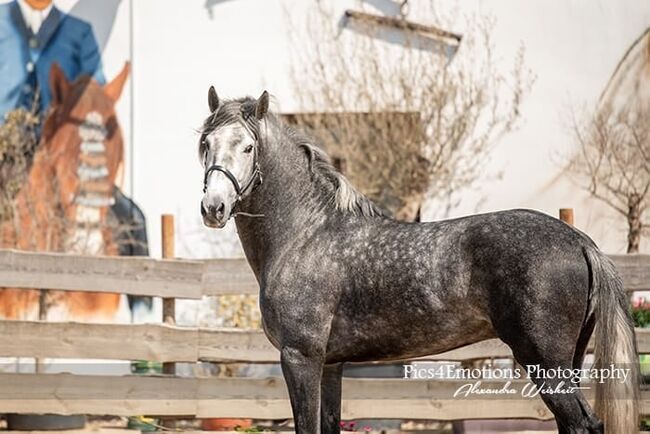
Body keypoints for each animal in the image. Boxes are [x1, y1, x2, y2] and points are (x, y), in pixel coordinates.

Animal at [195, 89, 636, 434]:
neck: (307, 234)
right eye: (206, 144)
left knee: (582, 424)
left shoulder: (300, 357)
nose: (213, 208)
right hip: (568, 361)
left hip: (545, 362)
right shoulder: (331, 365)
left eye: (248, 147)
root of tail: (579, 241)